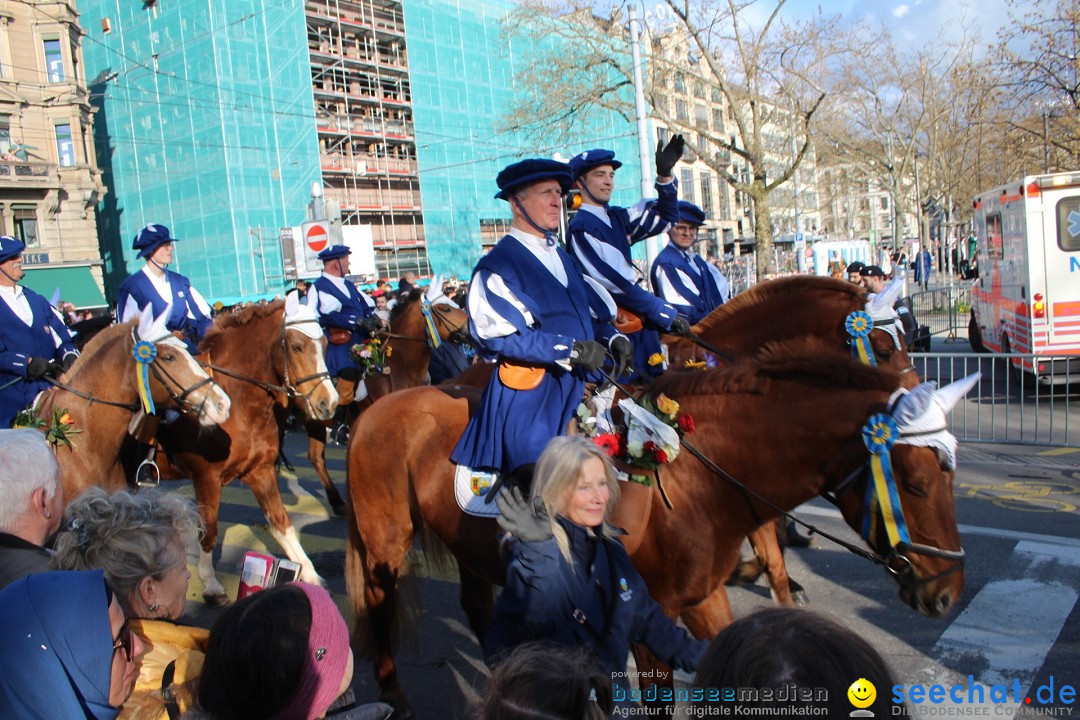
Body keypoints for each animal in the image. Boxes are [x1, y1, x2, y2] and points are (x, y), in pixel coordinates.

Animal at [143, 293, 336, 604]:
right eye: (296, 346)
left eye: (325, 344)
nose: (328, 403)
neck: (239, 403)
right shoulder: (207, 479)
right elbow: (208, 530)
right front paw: (210, 584)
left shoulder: (260, 471)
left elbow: (282, 522)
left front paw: (309, 572)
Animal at [341, 338, 967, 716]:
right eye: (915, 484)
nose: (945, 593)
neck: (694, 472)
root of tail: (378, 409)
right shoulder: (647, 615)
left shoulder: (702, 598)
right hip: (385, 542)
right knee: (380, 602)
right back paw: (394, 692)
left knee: (478, 609)